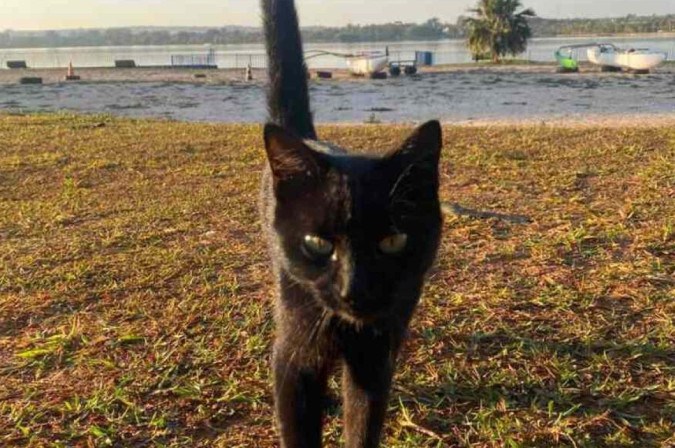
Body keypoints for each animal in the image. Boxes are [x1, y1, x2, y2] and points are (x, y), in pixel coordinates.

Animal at [258, 0, 444, 444]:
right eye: (317, 243)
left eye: (393, 241)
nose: (354, 290)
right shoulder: (293, 357)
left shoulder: (374, 356)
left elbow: (363, 422)